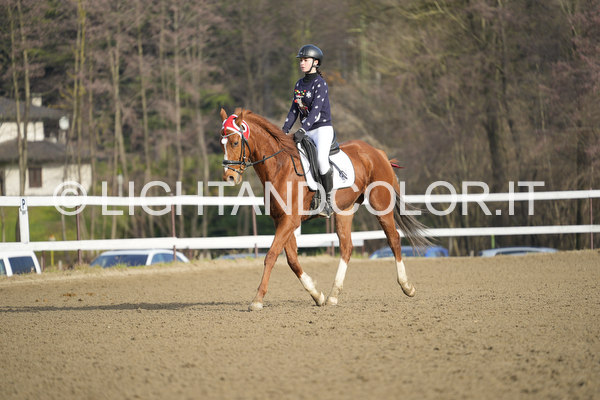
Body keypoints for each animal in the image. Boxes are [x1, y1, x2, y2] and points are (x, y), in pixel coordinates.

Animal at [219, 108, 430, 311]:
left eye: (235, 142)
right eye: (222, 143)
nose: (229, 177)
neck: (280, 167)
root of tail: (377, 152)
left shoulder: (289, 220)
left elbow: (271, 255)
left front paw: (257, 299)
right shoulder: (281, 220)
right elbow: (292, 259)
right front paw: (316, 294)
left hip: (380, 205)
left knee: (393, 238)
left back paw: (407, 286)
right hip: (345, 211)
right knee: (346, 247)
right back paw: (333, 296)